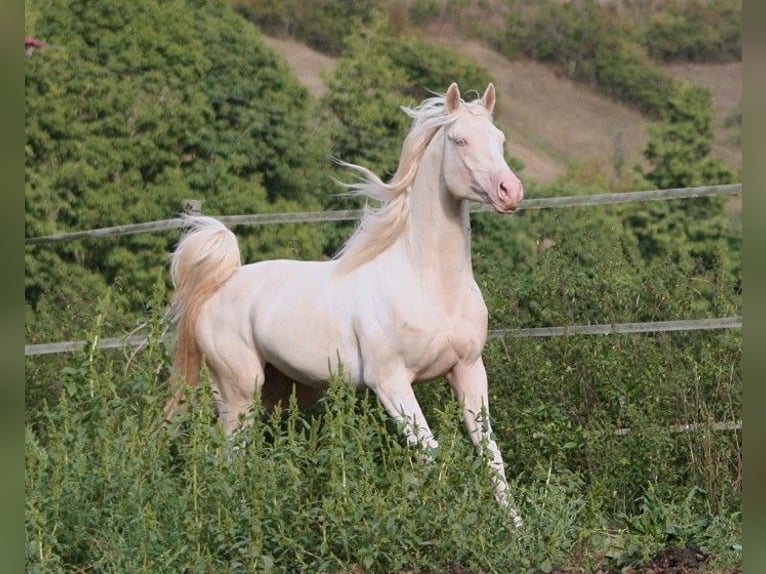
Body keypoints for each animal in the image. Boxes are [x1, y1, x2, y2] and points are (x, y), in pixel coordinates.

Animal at [166, 83, 528, 528]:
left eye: (500, 140)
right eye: (460, 140)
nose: (510, 192)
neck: (429, 283)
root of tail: (221, 284)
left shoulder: (468, 371)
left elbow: (490, 453)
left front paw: (518, 531)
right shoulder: (389, 381)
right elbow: (430, 452)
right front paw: (397, 513)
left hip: (282, 390)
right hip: (239, 390)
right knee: (229, 455)